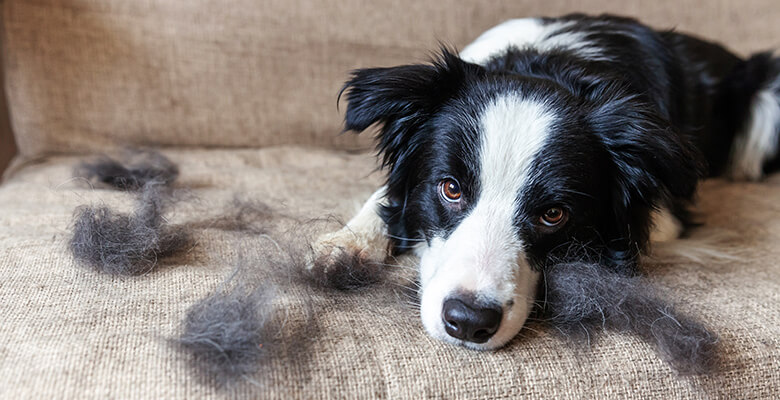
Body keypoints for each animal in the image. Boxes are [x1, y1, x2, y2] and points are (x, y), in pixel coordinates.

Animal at [310, 13, 780, 350]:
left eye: (554, 214)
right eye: (450, 188)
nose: (469, 322)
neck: (550, 66)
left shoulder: (665, 216)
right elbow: (387, 197)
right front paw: (347, 244)